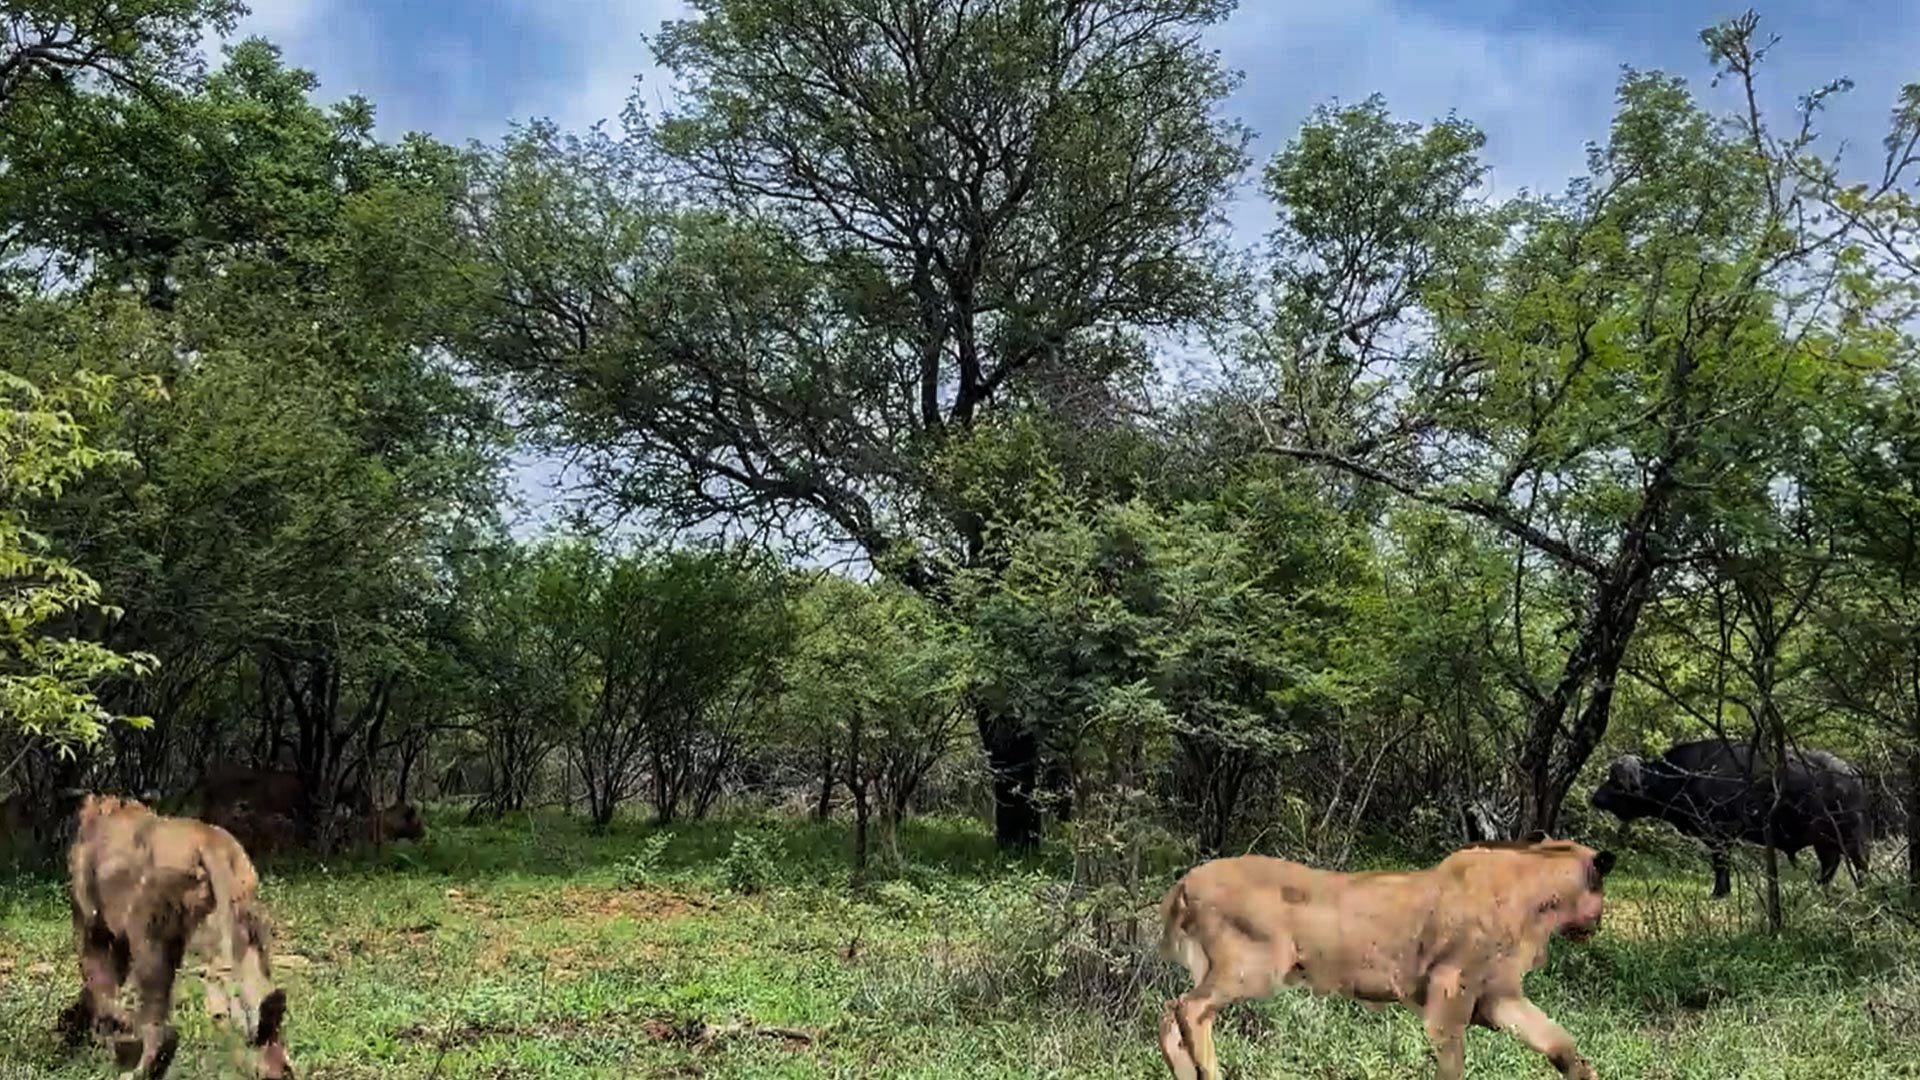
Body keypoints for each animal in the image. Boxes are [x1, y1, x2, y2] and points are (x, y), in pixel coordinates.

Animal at [60, 793, 293, 1079]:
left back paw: (141, 1066)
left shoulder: (96, 931)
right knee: (259, 1009)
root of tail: (209, 840)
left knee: (162, 1025)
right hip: (242, 931)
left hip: (151, 938)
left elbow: (99, 989)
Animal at [1156, 838, 1616, 1080]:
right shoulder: (1451, 988)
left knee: (1170, 1014)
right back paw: (1210, 1074)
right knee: (1188, 1009)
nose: (1596, 924)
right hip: (1252, 967)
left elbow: (1559, 1040)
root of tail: (1185, 881)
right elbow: (1453, 1062)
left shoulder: (1498, 995)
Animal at [1590, 738, 1869, 898]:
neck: (1685, 776)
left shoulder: (1720, 833)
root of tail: (1851, 772)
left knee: (1860, 863)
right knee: (1830, 865)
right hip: (1824, 838)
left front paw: (1719, 892)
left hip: (1849, 834)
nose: (1596, 797)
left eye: (1615, 780)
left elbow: (1720, 863)